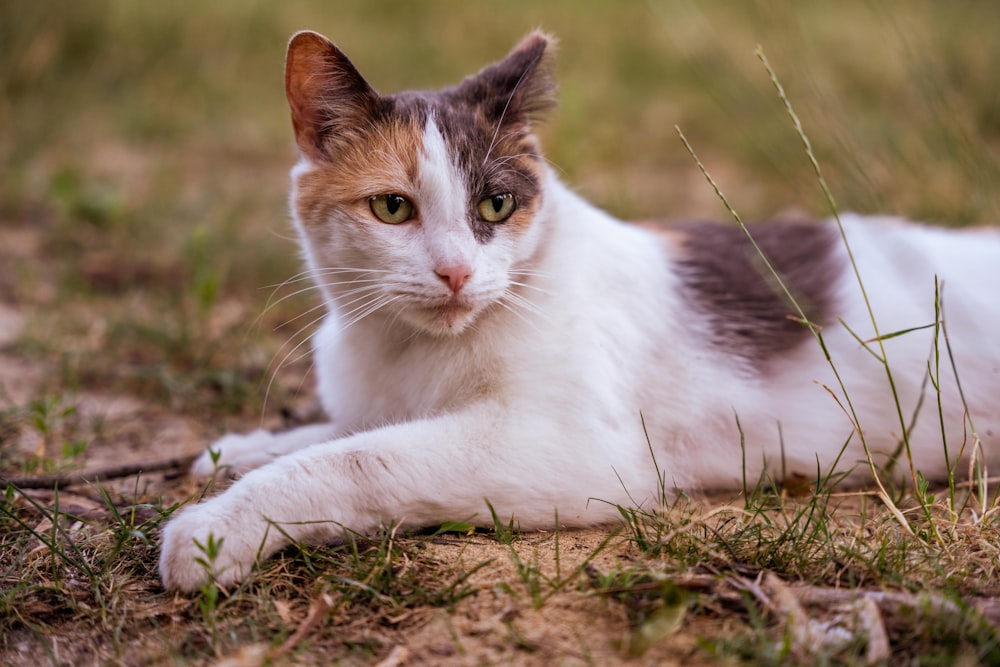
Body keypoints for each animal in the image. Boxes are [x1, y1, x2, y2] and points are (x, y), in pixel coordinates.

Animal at [160, 28, 1000, 592]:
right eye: (392, 207)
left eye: (496, 205)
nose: (457, 271)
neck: (404, 349)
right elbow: (342, 431)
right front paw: (241, 449)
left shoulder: (575, 448)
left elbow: (360, 457)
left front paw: (216, 528)